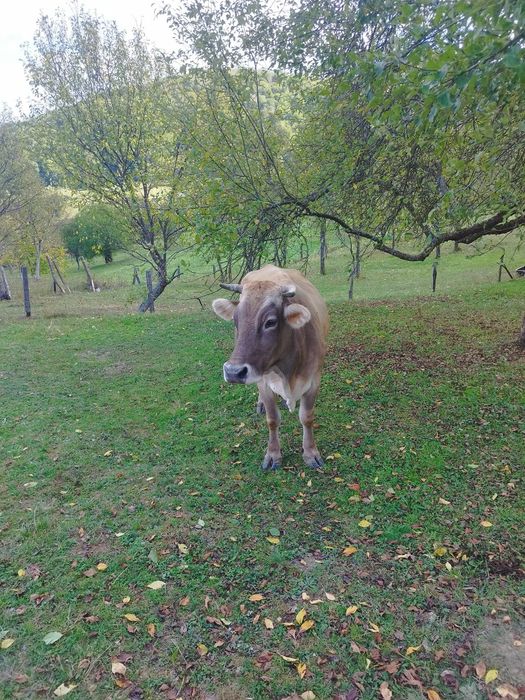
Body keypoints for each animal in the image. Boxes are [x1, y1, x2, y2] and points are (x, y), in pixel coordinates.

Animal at [212, 264, 328, 470]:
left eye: (270, 322)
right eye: (235, 321)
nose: (233, 372)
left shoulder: (314, 379)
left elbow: (306, 417)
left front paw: (310, 453)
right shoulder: (264, 382)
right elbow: (272, 419)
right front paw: (273, 454)